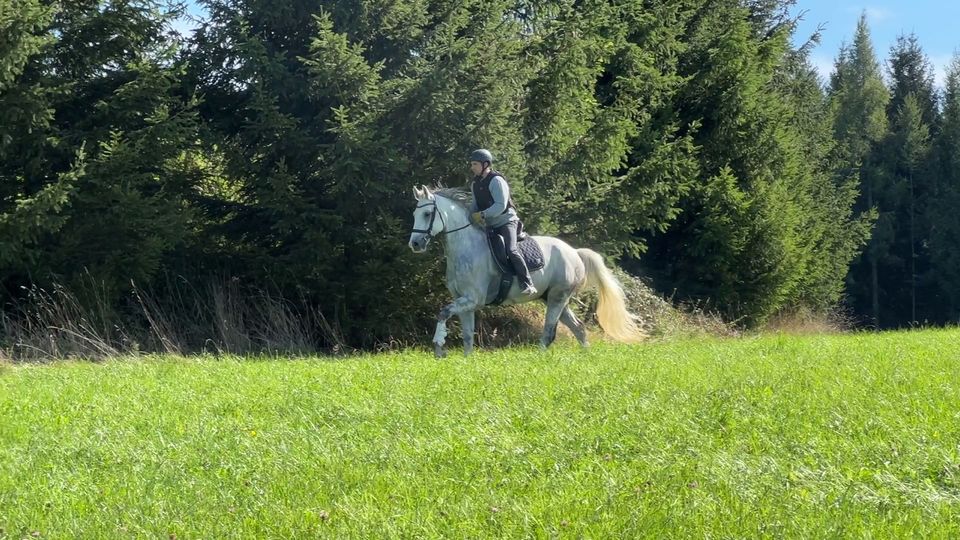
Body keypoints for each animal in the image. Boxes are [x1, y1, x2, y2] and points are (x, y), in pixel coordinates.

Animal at [406, 184, 644, 356]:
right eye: (415, 214)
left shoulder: (472, 299)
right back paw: (586, 357)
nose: (415, 244)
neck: (466, 249)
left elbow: (443, 312)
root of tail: (575, 252)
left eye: (427, 214)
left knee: (548, 332)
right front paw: (465, 359)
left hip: (558, 297)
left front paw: (438, 345)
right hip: (555, 298)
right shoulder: (464, 302)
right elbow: (467, 336)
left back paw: (539, 359)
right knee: (578, 328)